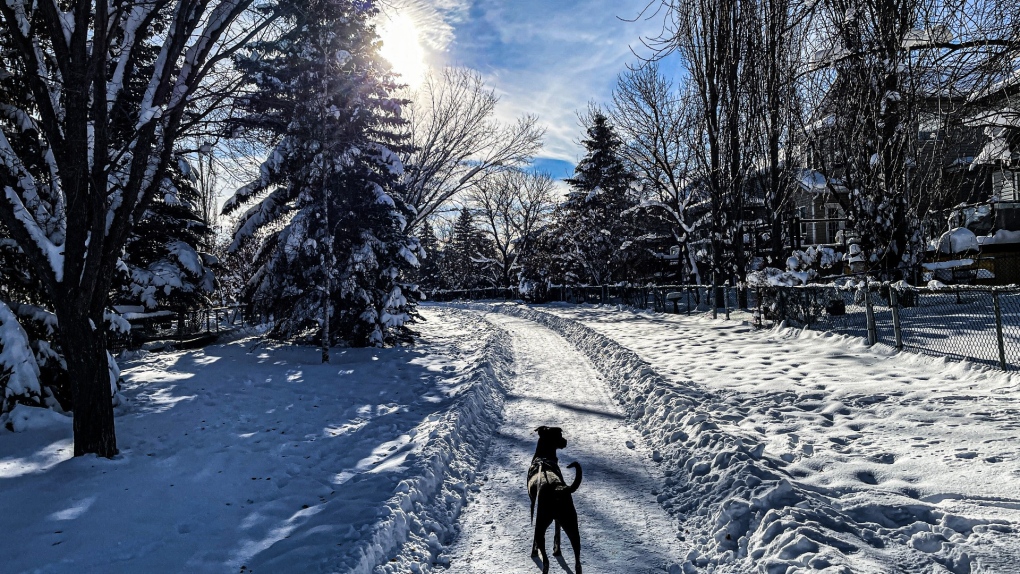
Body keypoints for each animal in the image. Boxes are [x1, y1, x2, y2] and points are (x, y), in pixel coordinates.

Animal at [526, 426, 583, 574]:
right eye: (560, 435)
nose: (566, 441)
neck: (544, 457)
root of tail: (558, 488)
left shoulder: (534, 507)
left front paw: (534, 552)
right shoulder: (559, 520)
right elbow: (557, 534)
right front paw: (557, 551)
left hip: (541, 525)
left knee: (546, 562)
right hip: (571, 524)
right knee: (578, 562)